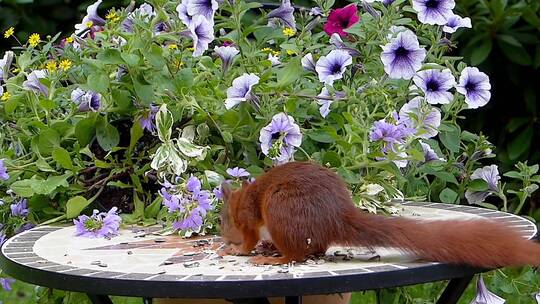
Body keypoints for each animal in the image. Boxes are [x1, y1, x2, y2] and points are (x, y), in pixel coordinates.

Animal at [219, 160, 540, 268]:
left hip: (281, 211)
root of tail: (338, 216)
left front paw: (234, 250)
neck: (241, 199)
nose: (223, 236)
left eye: (223, 220)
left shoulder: (248, 220)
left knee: (297, 254)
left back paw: (274, 258)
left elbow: (248, 240)